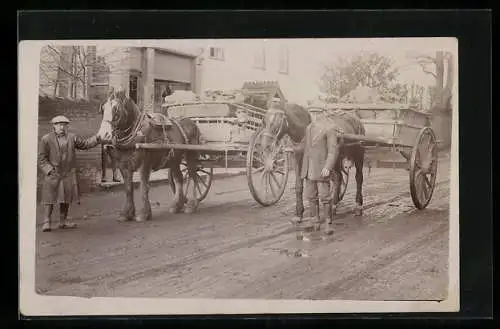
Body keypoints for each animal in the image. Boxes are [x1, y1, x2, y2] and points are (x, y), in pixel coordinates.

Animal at [96, 88, 201, 220]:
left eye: (116, 109)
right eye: (103, 108)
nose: (102, 136)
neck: (135, 134)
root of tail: (192, 123)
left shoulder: (144, 164)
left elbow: (143, 187)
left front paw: (144, 214)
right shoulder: (123, 165)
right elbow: (128, 189)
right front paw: (126, 213)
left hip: (191, 155)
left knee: (193, 176)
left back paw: (192, 205)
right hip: (174, 159)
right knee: (179, 179)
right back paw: (177, 205)